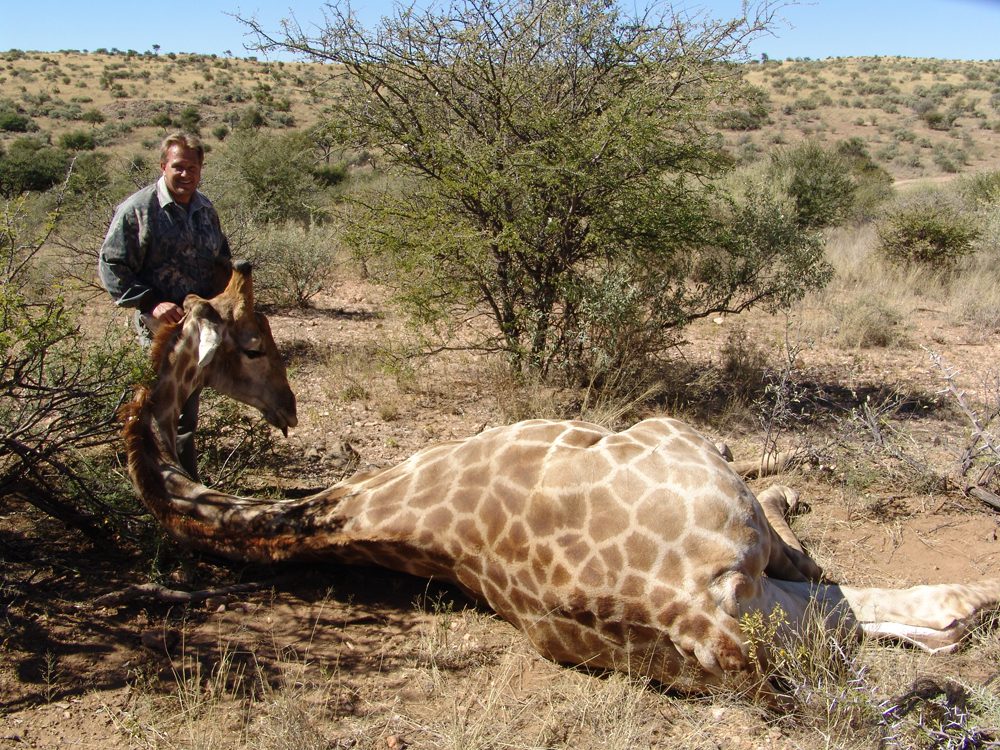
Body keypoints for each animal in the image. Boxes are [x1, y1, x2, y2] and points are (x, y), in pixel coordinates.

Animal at [121, 262, 1000, 694]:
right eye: (255, 342)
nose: (289, 408)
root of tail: (698, 623)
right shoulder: (691, 454)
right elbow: (768, 483)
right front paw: (799, 474)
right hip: (710, 500)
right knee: (866, 590)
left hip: (761, 615)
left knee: (889, 615)